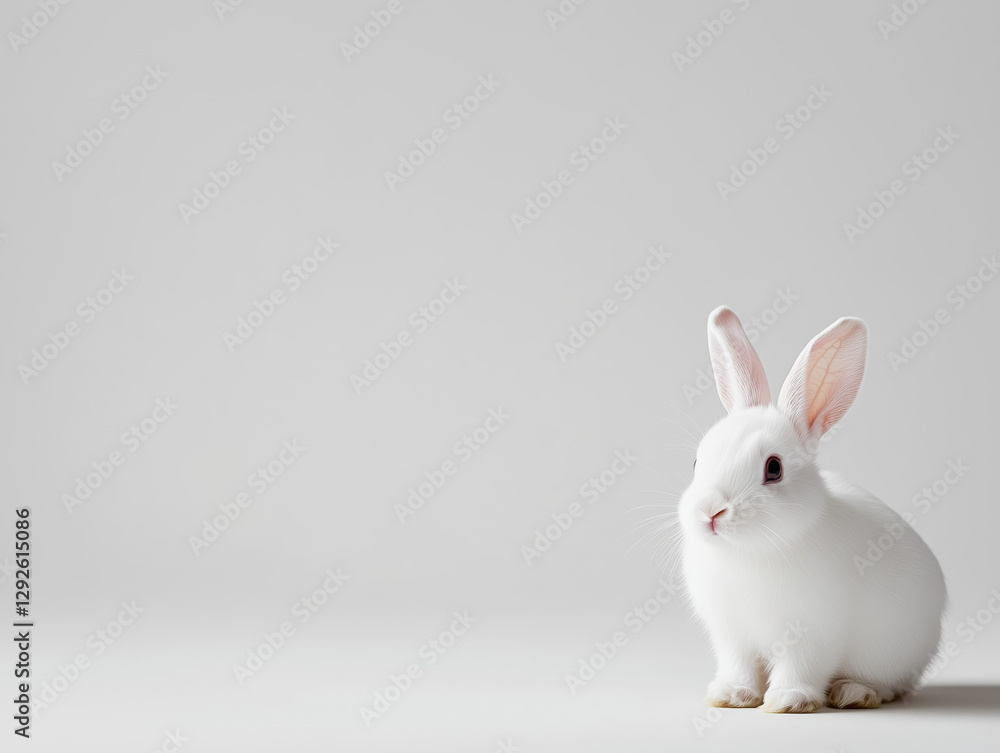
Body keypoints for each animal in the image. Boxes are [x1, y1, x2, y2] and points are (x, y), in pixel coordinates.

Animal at [680, 306, 946, 713]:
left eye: (774, 468)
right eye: (697, 462)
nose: (711, 512)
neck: (749, 552)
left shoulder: (812, 634)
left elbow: (802, 667)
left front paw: (788, 701)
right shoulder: (731, 635)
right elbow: (739, 666)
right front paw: (731, 696)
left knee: (891, 685)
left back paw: (854, 692)